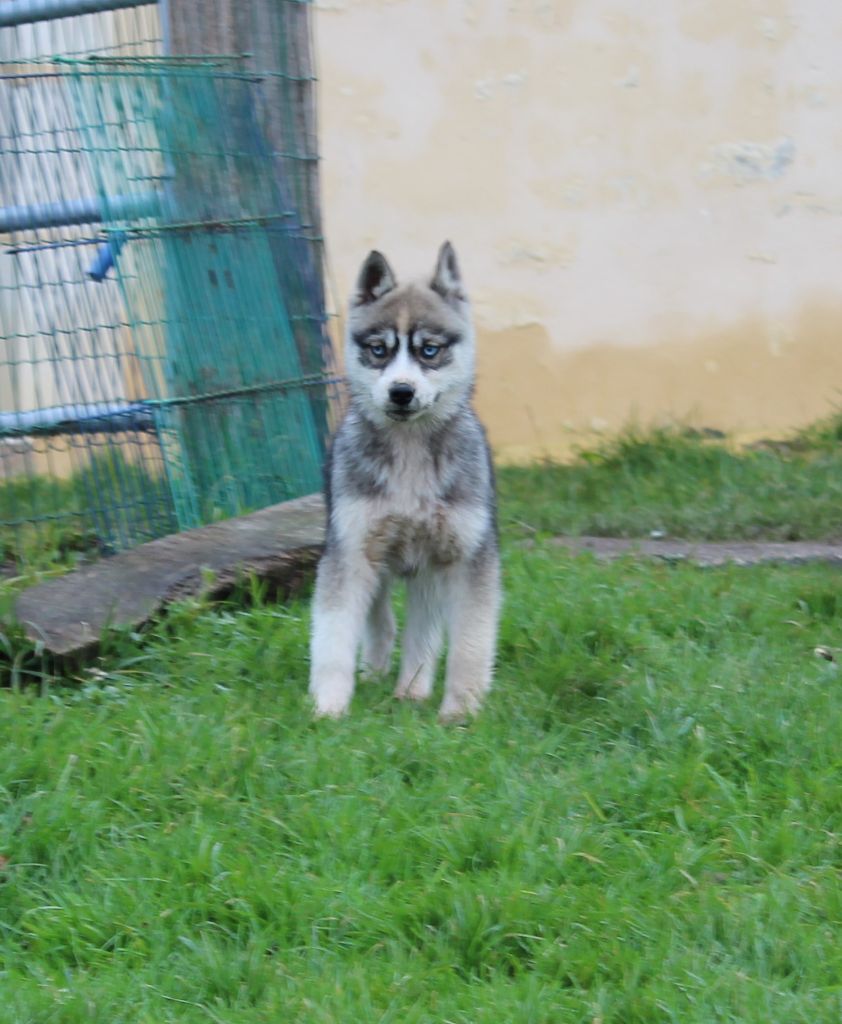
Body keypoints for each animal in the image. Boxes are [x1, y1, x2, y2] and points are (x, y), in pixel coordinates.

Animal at [309, 241, 501, 722]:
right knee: (381, 622)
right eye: (379, 349)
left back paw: (411, 689)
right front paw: (328, 708)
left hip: (428, 570)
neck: (410, 449)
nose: (401, 391)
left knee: (422, 630)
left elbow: (470, 643)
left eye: (428, 350)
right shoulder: (350, 552)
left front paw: (461, 711)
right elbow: (334, 638)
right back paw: (378, 674)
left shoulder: (467, 557)